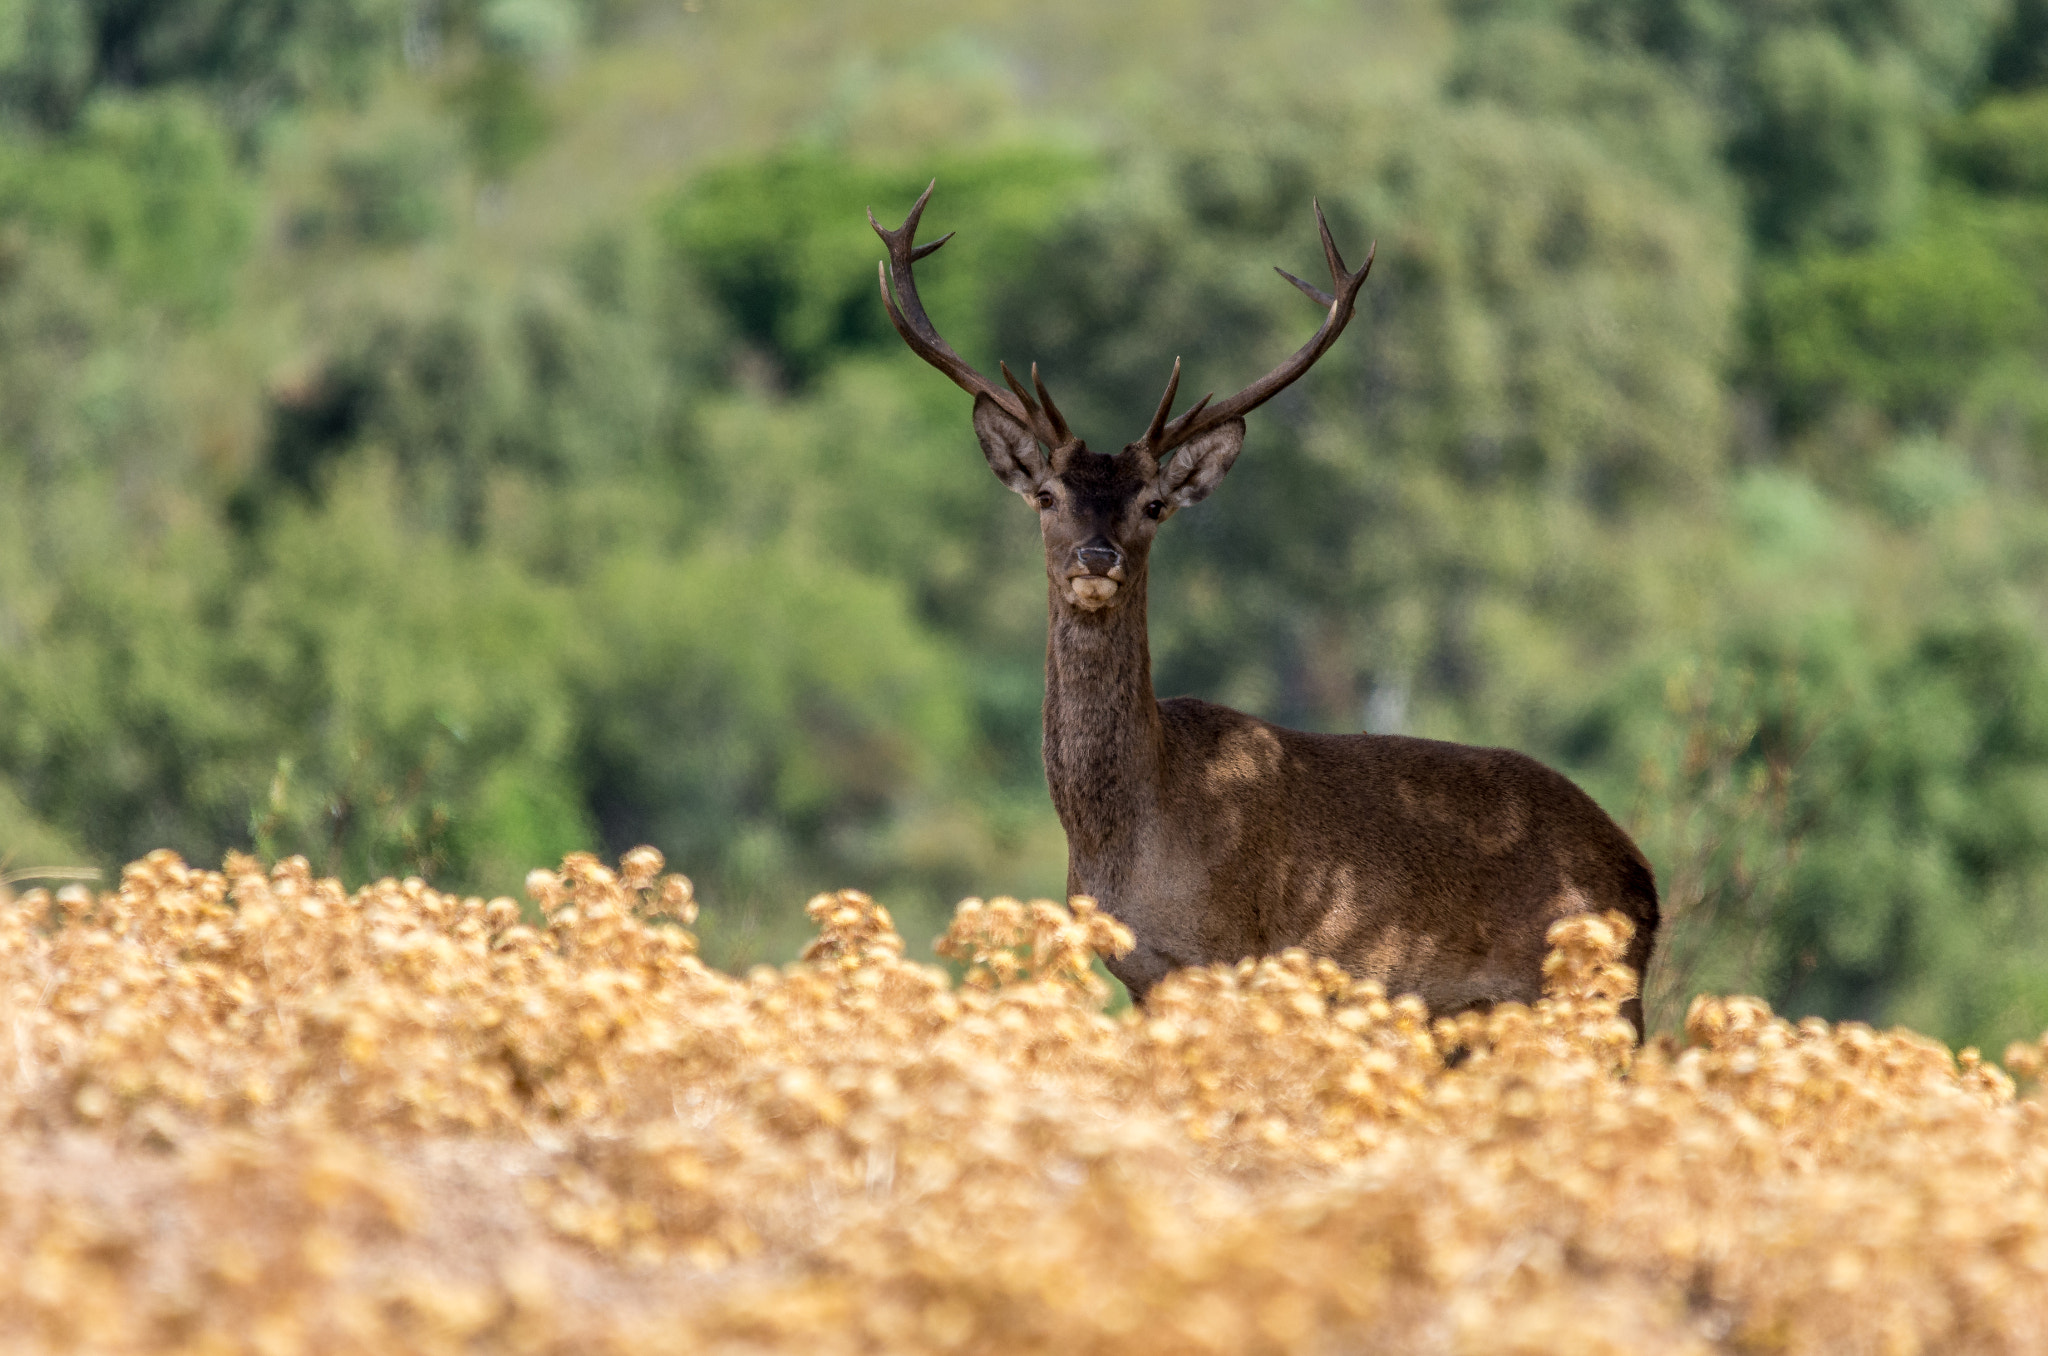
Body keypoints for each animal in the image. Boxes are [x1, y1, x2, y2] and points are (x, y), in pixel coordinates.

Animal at [868, 178, 1662, 1032]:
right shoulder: (1144, 979)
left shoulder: (1230, 954)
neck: (1129, 836)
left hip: (1595, 997)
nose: (1097, 559)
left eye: (1153, 505)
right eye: (1047, 496)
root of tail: (1644, 884)